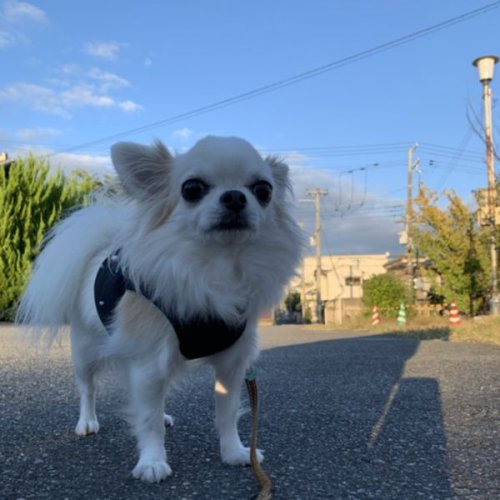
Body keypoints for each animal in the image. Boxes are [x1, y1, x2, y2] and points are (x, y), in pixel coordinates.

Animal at [17, 135, 302, 482]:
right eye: (191, 189)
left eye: (263, 191)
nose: (235, 196)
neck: (215, 267)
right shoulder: (148, 361)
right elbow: (148, 422)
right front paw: (152, 462)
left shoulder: (231, 365)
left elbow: (227, 413)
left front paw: (234, 452)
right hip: (85, 350)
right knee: (88, 388)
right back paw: (87, 422)